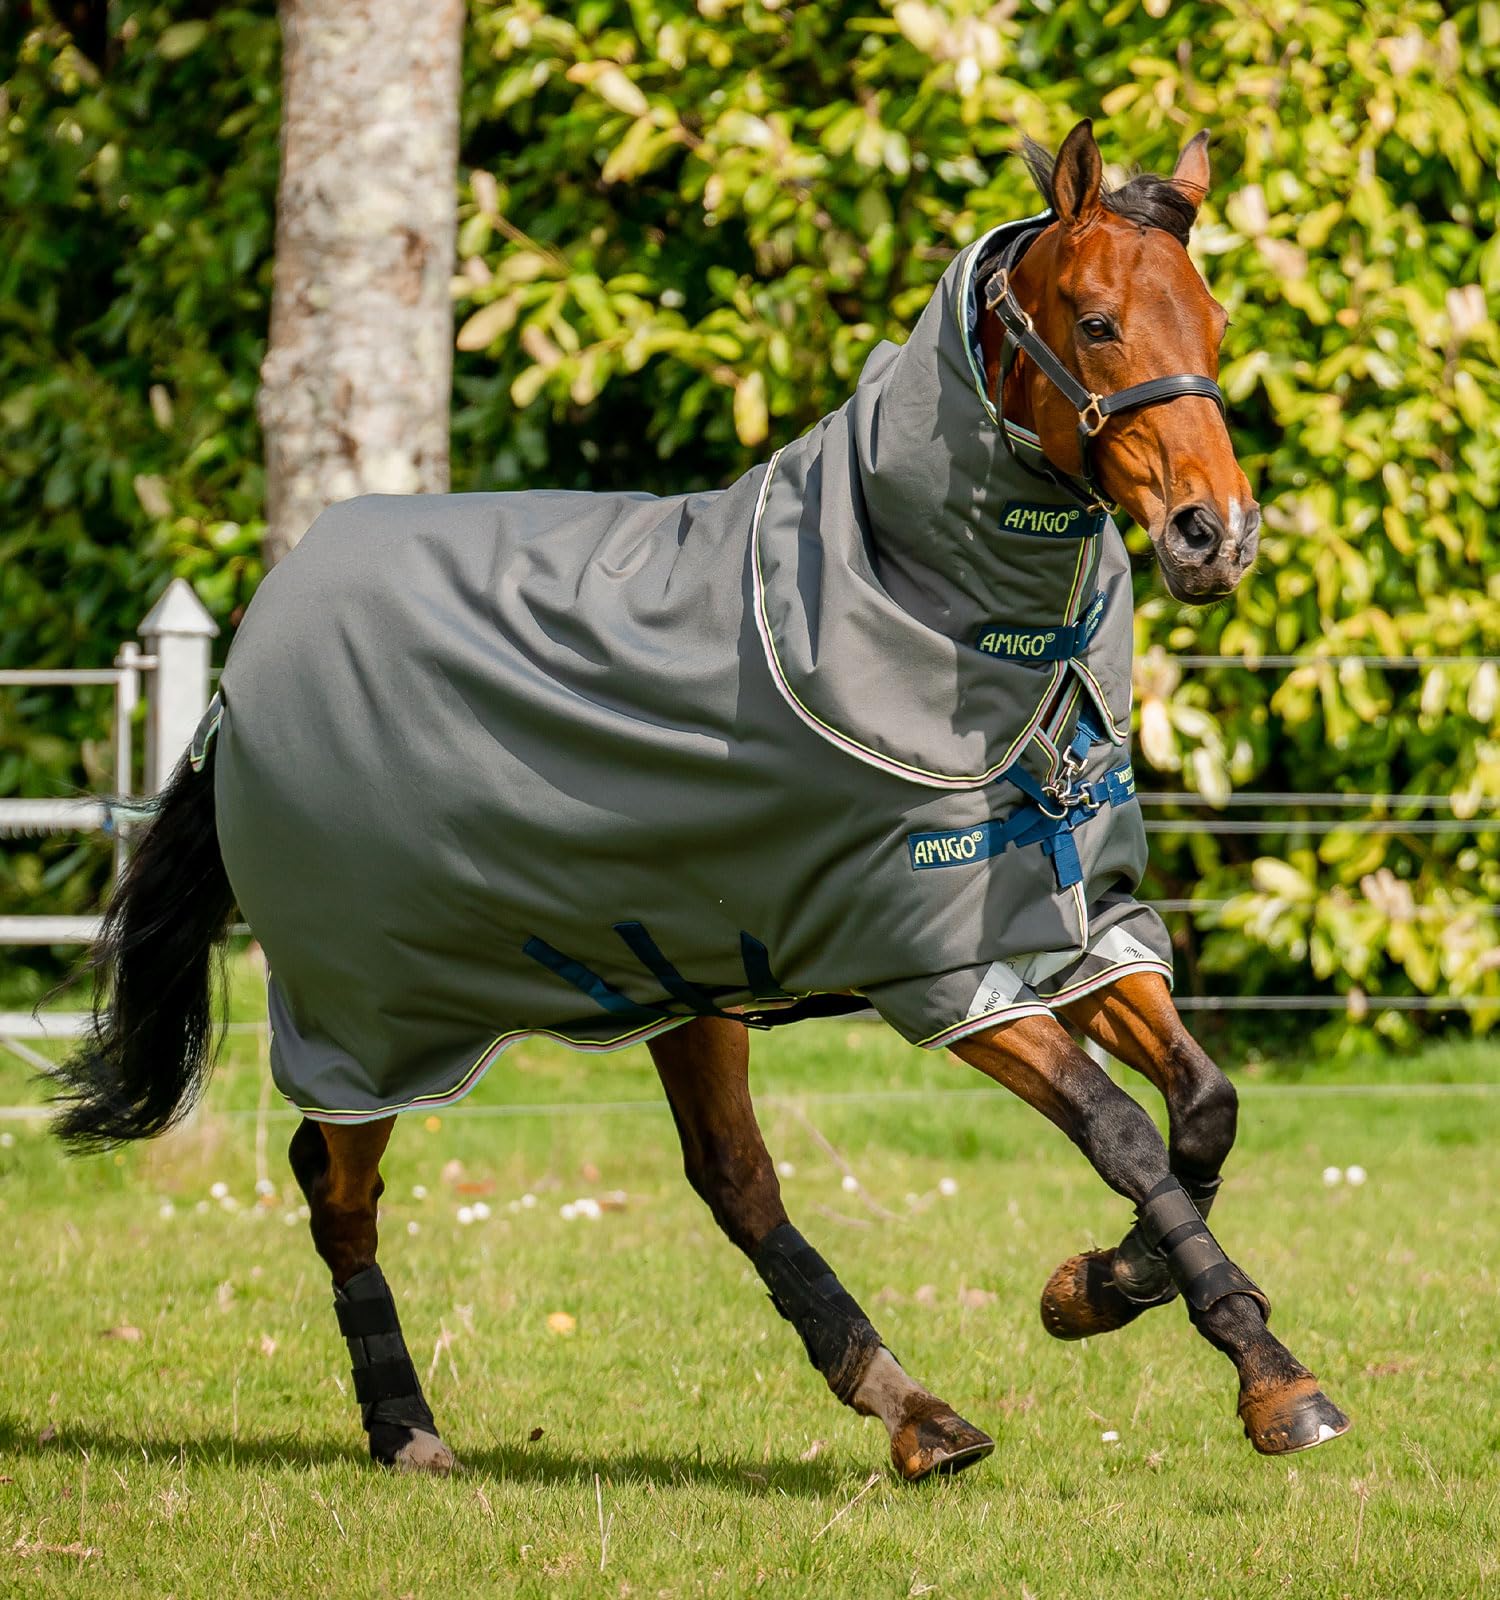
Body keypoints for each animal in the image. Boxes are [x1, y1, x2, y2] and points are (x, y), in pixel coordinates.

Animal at [50, 120, 1349, 1482]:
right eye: (1098, 322)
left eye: (1211, 320)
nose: (1218, 535)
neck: (950, 626)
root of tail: (241, 669)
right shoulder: (941, 969)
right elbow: (1124, 1132)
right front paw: (1263, 1374)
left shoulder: (1077, 933)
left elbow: (1203, 1112)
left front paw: (1100, 1289)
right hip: (373, 1011)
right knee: (335, 1179)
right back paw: (407, 1429)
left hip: (681, 981)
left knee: (733, 1179)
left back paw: (914, 1411)